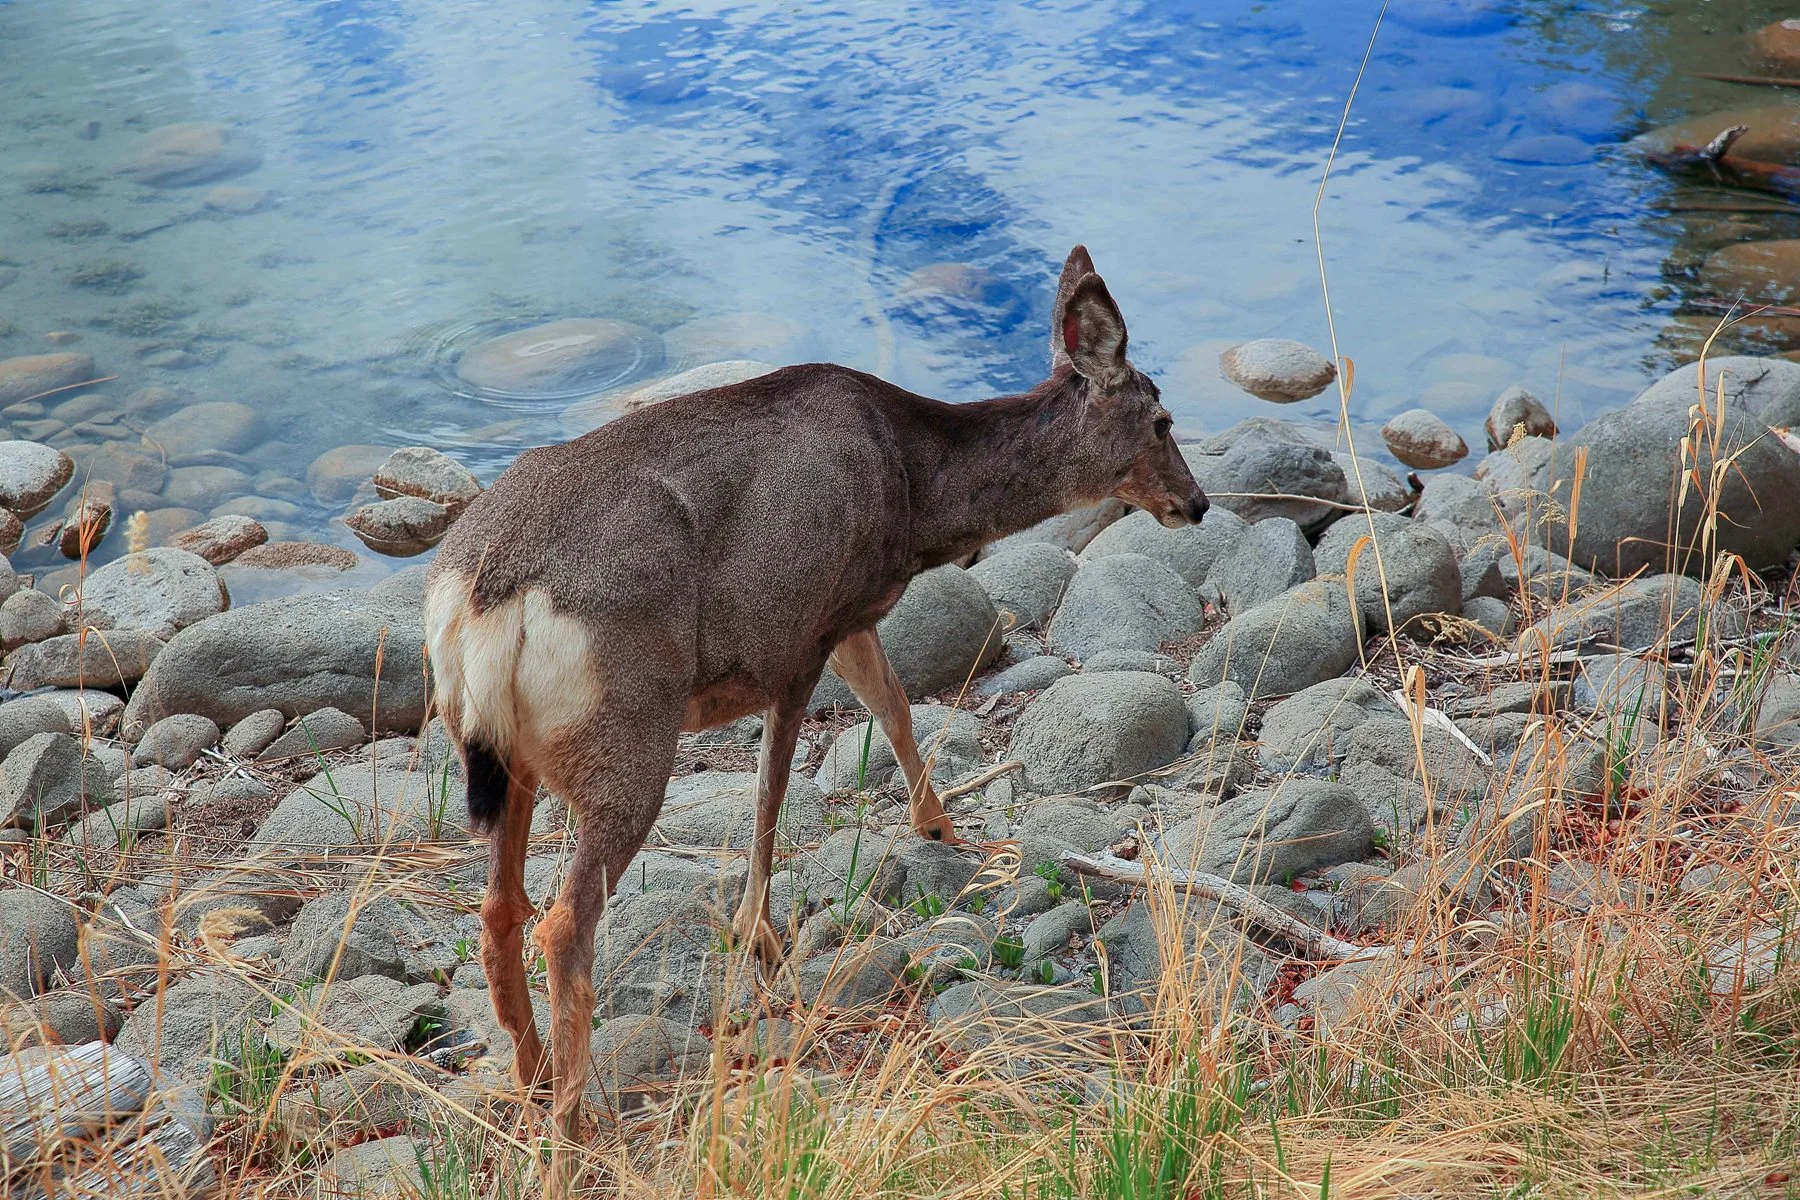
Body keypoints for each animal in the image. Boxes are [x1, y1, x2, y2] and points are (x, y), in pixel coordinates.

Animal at [423, 245, 1208, 1190]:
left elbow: (894, 709)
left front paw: (940, 828)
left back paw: (536, 1080)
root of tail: (481, 596)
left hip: (508, 755)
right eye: (1162, 419)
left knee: (498, 911)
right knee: (564, 921)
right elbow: (778, 790)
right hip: (627, 731)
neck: (914, 492)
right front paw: (760, 933)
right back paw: (576, 1129)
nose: (1199, 504)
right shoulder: (802, 627)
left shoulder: (846, 616)